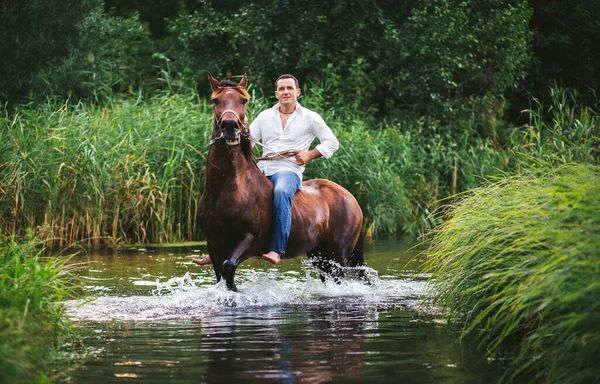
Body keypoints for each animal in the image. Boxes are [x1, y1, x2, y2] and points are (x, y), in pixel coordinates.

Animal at [199, 73, 364, 292]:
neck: (226, 188)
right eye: (215, 100)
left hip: (337, 256)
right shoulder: (214, 244)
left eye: (243, 100)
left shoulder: (250, 240)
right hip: (319, 256)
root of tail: (352, 199)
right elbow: (221, 276)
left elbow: (229, 268)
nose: (229, 127)